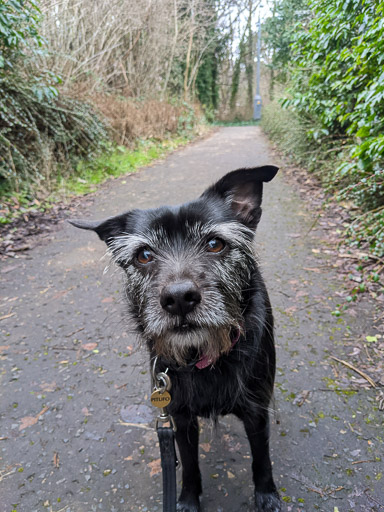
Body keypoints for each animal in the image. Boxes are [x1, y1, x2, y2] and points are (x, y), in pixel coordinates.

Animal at [70, 166, 282, 510]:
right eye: (144, 255)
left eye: (215, 243)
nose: (179, 298)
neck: (204, 357)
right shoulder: (179, 417)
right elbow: (189, 463)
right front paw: (187, 499)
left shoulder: (256, 412)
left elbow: (261, 459)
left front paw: (266, 495)